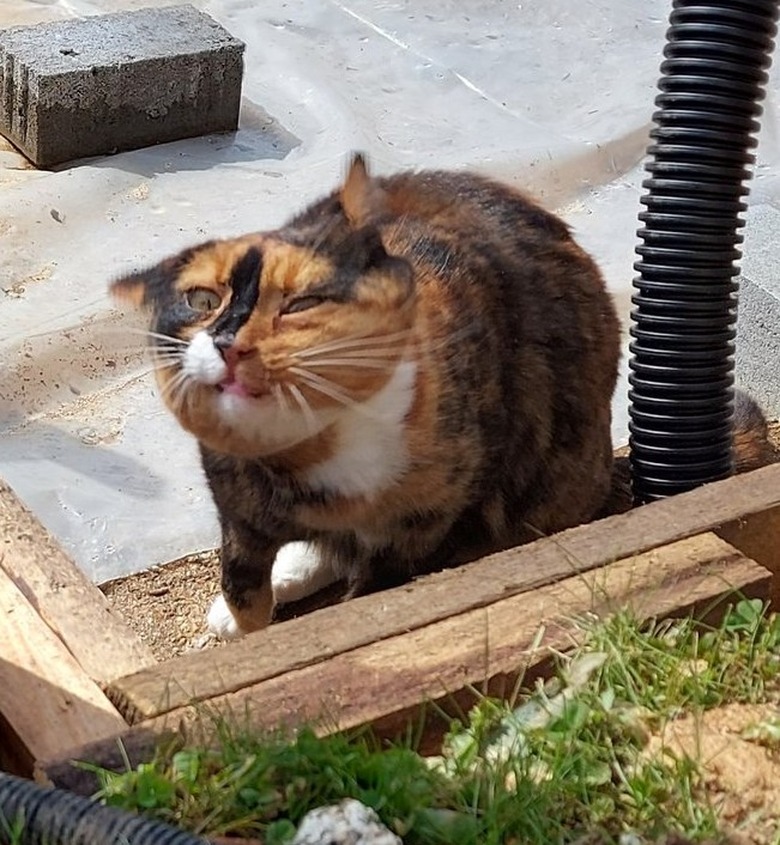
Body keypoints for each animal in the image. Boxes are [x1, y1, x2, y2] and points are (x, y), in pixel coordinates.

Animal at [111, 155, 620, 636]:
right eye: (202, 302)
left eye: (301, 304)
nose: (226, 342)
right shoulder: (236, 506)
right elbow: (242, 584)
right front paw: (243, 619)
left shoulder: (430, 531)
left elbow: (370, 600)